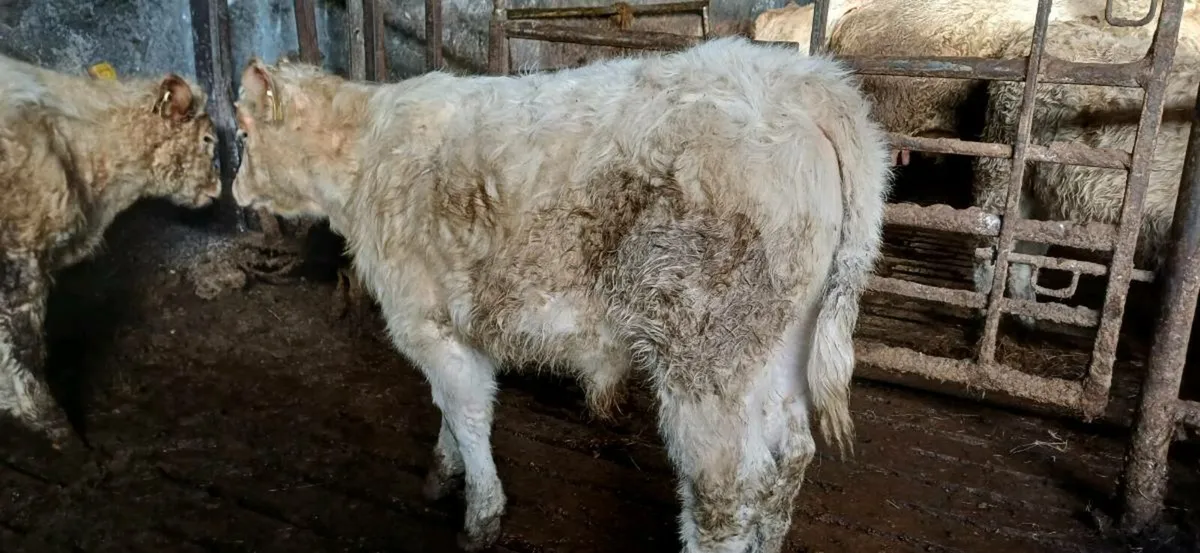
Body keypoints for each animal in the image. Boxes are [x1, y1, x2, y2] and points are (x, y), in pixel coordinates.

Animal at [229, 37, 893, 552]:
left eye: (242, 131)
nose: (233, 191)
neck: (366, 156)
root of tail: (802, 80)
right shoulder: (461, 325)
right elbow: (449, 413)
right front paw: (444, 472)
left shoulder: (427, 321)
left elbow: (467, 413)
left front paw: (480, 514)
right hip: (781, 343)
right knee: (791, 455)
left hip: (707, 357)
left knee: (726, 492)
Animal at [972, 20, 1200, 328]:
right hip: (1002, 169)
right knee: (988, 245)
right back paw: (981, 312)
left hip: (1045, 199)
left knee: (1023, 255)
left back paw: (1027, 316)